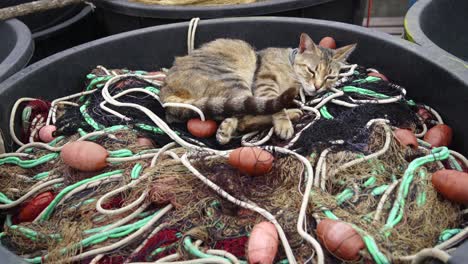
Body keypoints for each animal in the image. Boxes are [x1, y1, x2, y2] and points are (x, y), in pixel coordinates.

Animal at [159, 33, 356, 145]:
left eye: (330, 77)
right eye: (311, 70)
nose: (317, 86)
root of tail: (165, 90)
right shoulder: (265, 82)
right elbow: (277, 107)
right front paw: (284, 123)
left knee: (238, 115)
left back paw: (226, 128)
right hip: (234, 80)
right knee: (248, 117)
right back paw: (292, 114)